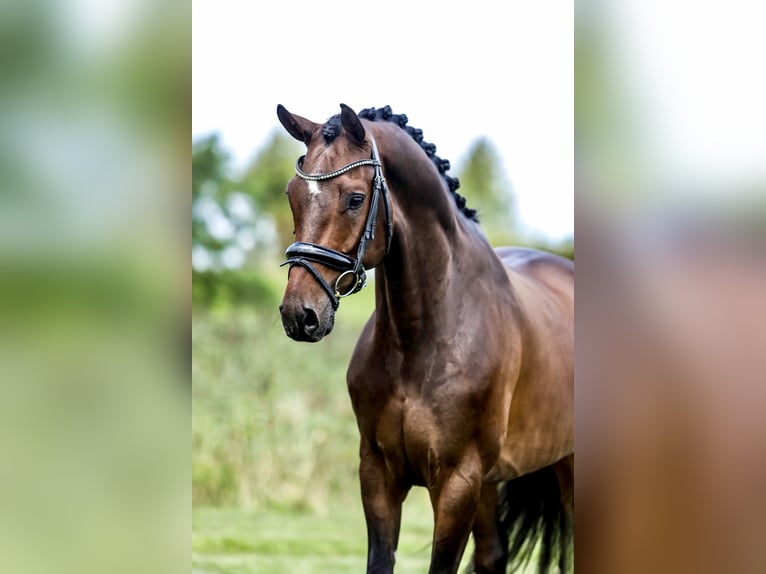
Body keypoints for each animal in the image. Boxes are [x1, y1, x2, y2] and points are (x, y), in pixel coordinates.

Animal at [276, 103, 574, 574]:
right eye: (292, 195)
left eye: (355, 198)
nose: (299, 315)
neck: (419, 341)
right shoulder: (378, 474)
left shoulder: (456, 481)